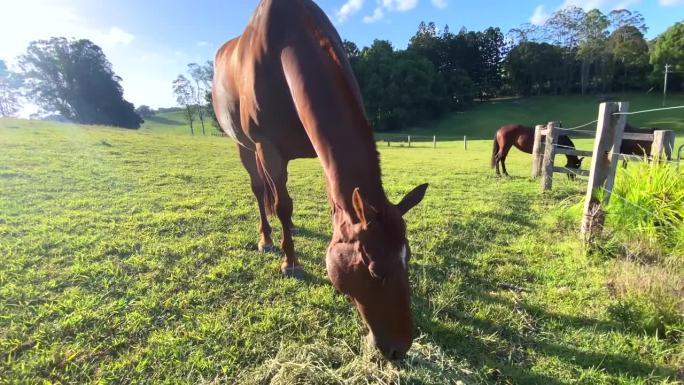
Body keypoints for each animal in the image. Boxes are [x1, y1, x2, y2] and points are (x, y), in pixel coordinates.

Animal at [214, 0, 428, 356]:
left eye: (408, 259)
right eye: (374, 272)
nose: (398, 349)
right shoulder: (266, 147)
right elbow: (281, 203)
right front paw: (289, 262)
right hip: (244, 146)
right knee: (261, 190)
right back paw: (267, 238)